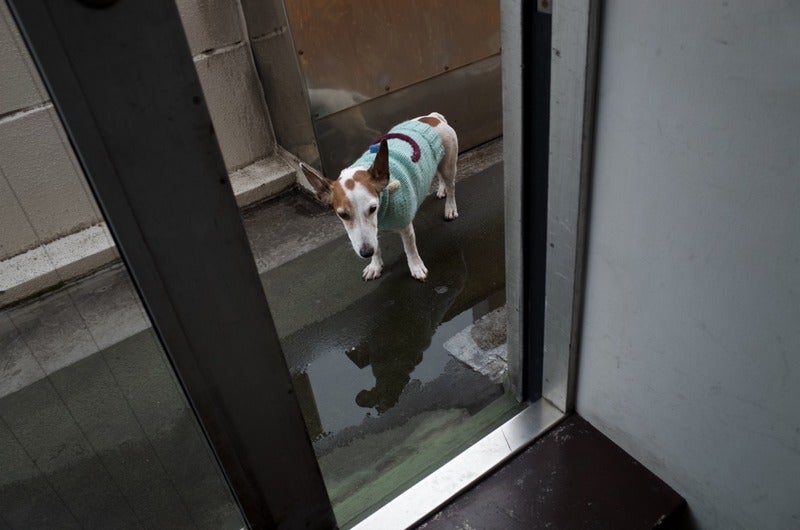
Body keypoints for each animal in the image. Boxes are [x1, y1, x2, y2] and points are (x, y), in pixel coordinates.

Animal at [301, 112, 458, 282]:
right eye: (343, 215)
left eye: (373, 208)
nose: (365, 253)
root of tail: (433, 118)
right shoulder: (372, 233)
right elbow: (375, 246)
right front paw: (375, 265)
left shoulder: (405, 227)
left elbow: (410, 248)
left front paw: (416, 266)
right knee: (440, 176)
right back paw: (441, 189)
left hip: (449, 165)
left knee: (451, 185)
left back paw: (450, 207)